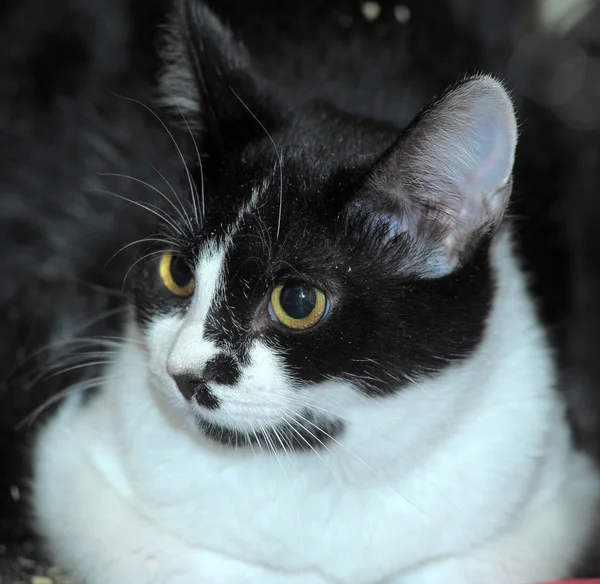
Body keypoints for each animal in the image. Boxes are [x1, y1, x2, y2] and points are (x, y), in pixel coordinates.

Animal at [10, 1, 600, 584]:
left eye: (297, 302)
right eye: (177, 271)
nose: (182, 373)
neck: (323, 462)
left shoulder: (555, 491)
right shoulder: (71, 461)